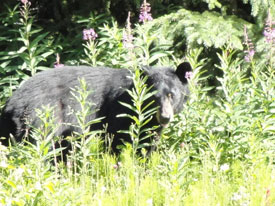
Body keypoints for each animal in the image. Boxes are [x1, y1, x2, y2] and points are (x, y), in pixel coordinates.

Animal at [0, 63, 193, 154]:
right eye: (154, 97)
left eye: (172, 95)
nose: (165, 117)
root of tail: (10, 103)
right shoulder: (119, 111)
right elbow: (119, 139)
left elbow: (148, 140)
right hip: (43, 117)